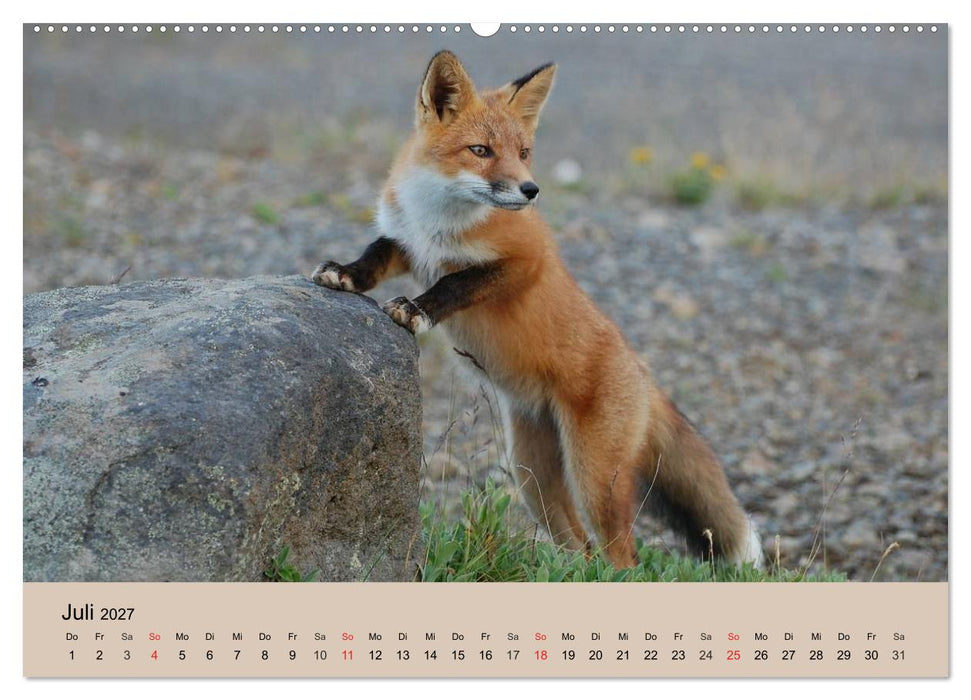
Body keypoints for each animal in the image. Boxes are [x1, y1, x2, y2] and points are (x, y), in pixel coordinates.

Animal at [312, 51, 763, 570]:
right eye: (481, 150)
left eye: (524, 152)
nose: (531, 190)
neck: (439, 221)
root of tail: (642, 374)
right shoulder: (407, 243)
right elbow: (374, 254)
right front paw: (344, 275)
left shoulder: (526, 261)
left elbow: (455, 283)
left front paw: (417, 310)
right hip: (533, 476)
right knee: (580, 547)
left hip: (594, 478)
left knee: (621, 556)